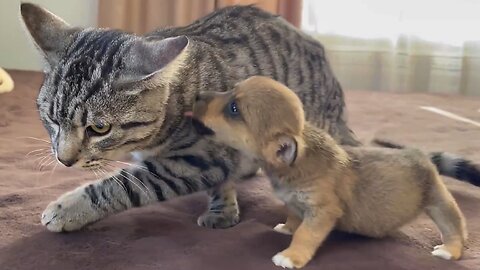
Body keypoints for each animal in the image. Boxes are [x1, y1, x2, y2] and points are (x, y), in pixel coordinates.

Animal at [19, 2, 480, 232]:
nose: (63, 159)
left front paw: (69, 208)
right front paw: (224, 208)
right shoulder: (211, 158)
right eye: (51, 118)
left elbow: (123, 185)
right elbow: (218, 181)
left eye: (99, 128)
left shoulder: (195, 159)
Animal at [190, 75, 464, 268]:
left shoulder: (323, 212)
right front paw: (286, 228)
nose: (197, 95)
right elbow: (294, 219)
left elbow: (305, 234)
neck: (294, 164)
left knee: (454, 227)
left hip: (438, 202)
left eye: (234, 109)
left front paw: (290, 256)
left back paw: (449, 250)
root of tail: (419, 153)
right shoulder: (296, 204)